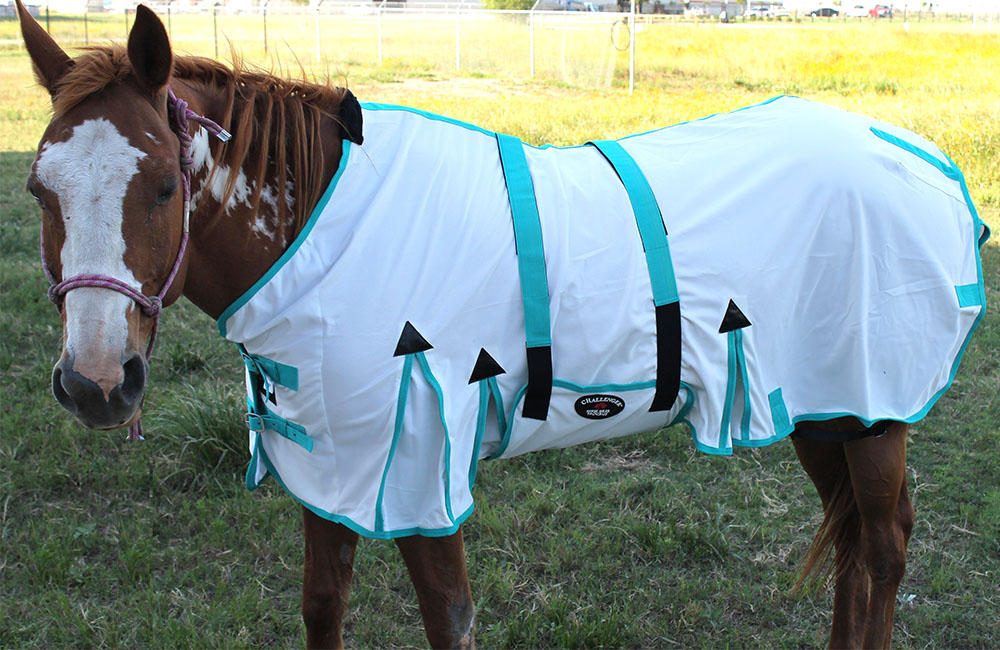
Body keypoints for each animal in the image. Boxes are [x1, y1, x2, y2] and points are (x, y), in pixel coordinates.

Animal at [17, 3, 987, 648]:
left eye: (164, 185)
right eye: (39, 186)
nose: (97, 382)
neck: (329, 229)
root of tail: (919, 154)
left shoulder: (419, 471)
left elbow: (448, 620)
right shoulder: (329, 466)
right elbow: (322, 605)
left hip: (872, 406)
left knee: (884, 547)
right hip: (822, 408)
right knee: (856, 547)